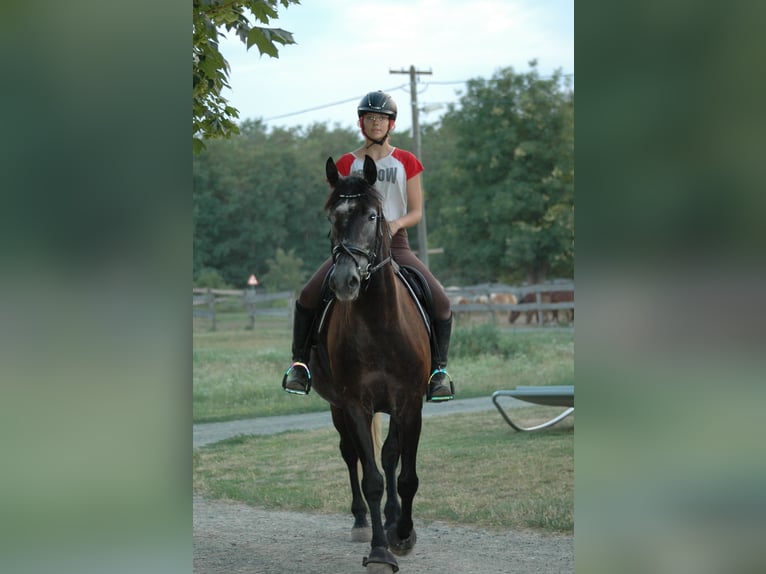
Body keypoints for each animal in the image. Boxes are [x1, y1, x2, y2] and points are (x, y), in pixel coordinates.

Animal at [308, 155, 436, 572]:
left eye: (372, 216)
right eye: (332, 217)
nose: (345, 281)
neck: (379, 323)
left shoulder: (410, 402)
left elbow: (405, 473)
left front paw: (403, 534)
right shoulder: (354, 404)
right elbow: (373, 480)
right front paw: (380, 551)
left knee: (390, 456)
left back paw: (395, 519)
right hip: (337, 407)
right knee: (352, 456)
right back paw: (362, 521)